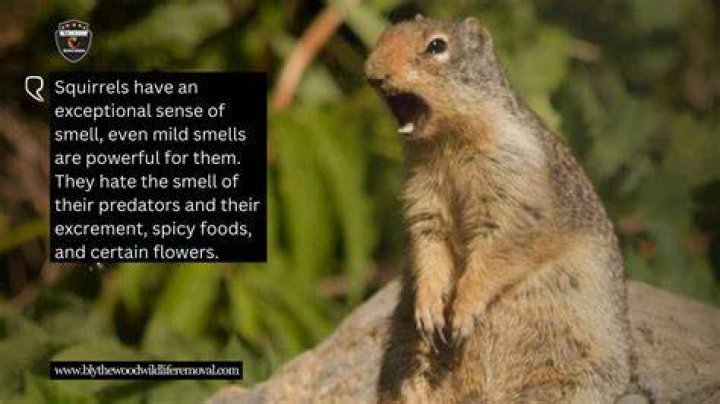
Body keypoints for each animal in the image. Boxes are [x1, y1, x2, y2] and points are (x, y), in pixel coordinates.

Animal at [365, 16, 631, 403]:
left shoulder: (512, 185)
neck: (446, 144)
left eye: (437, 46)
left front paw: (462, 312)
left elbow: (497, 248)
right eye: (383, 36)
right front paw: (429, 310)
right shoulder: (422, 194)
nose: (373, 72)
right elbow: (427, 244)